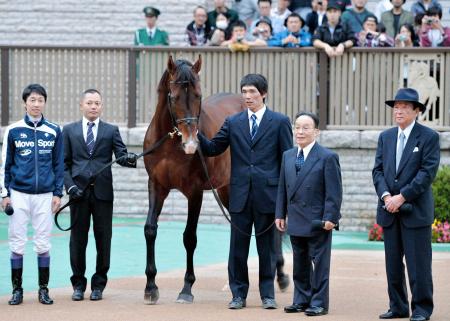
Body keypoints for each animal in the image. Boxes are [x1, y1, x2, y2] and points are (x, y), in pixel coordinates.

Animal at [142, 55, 244, 302]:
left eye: (198, 95)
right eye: (174, 96)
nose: (190, 144)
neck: (170, 145)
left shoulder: (195, 192)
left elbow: (189, 237)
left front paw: (186, 288)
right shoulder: (156, 186)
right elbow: (150, 229)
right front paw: (151, 287)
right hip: (225, 189)